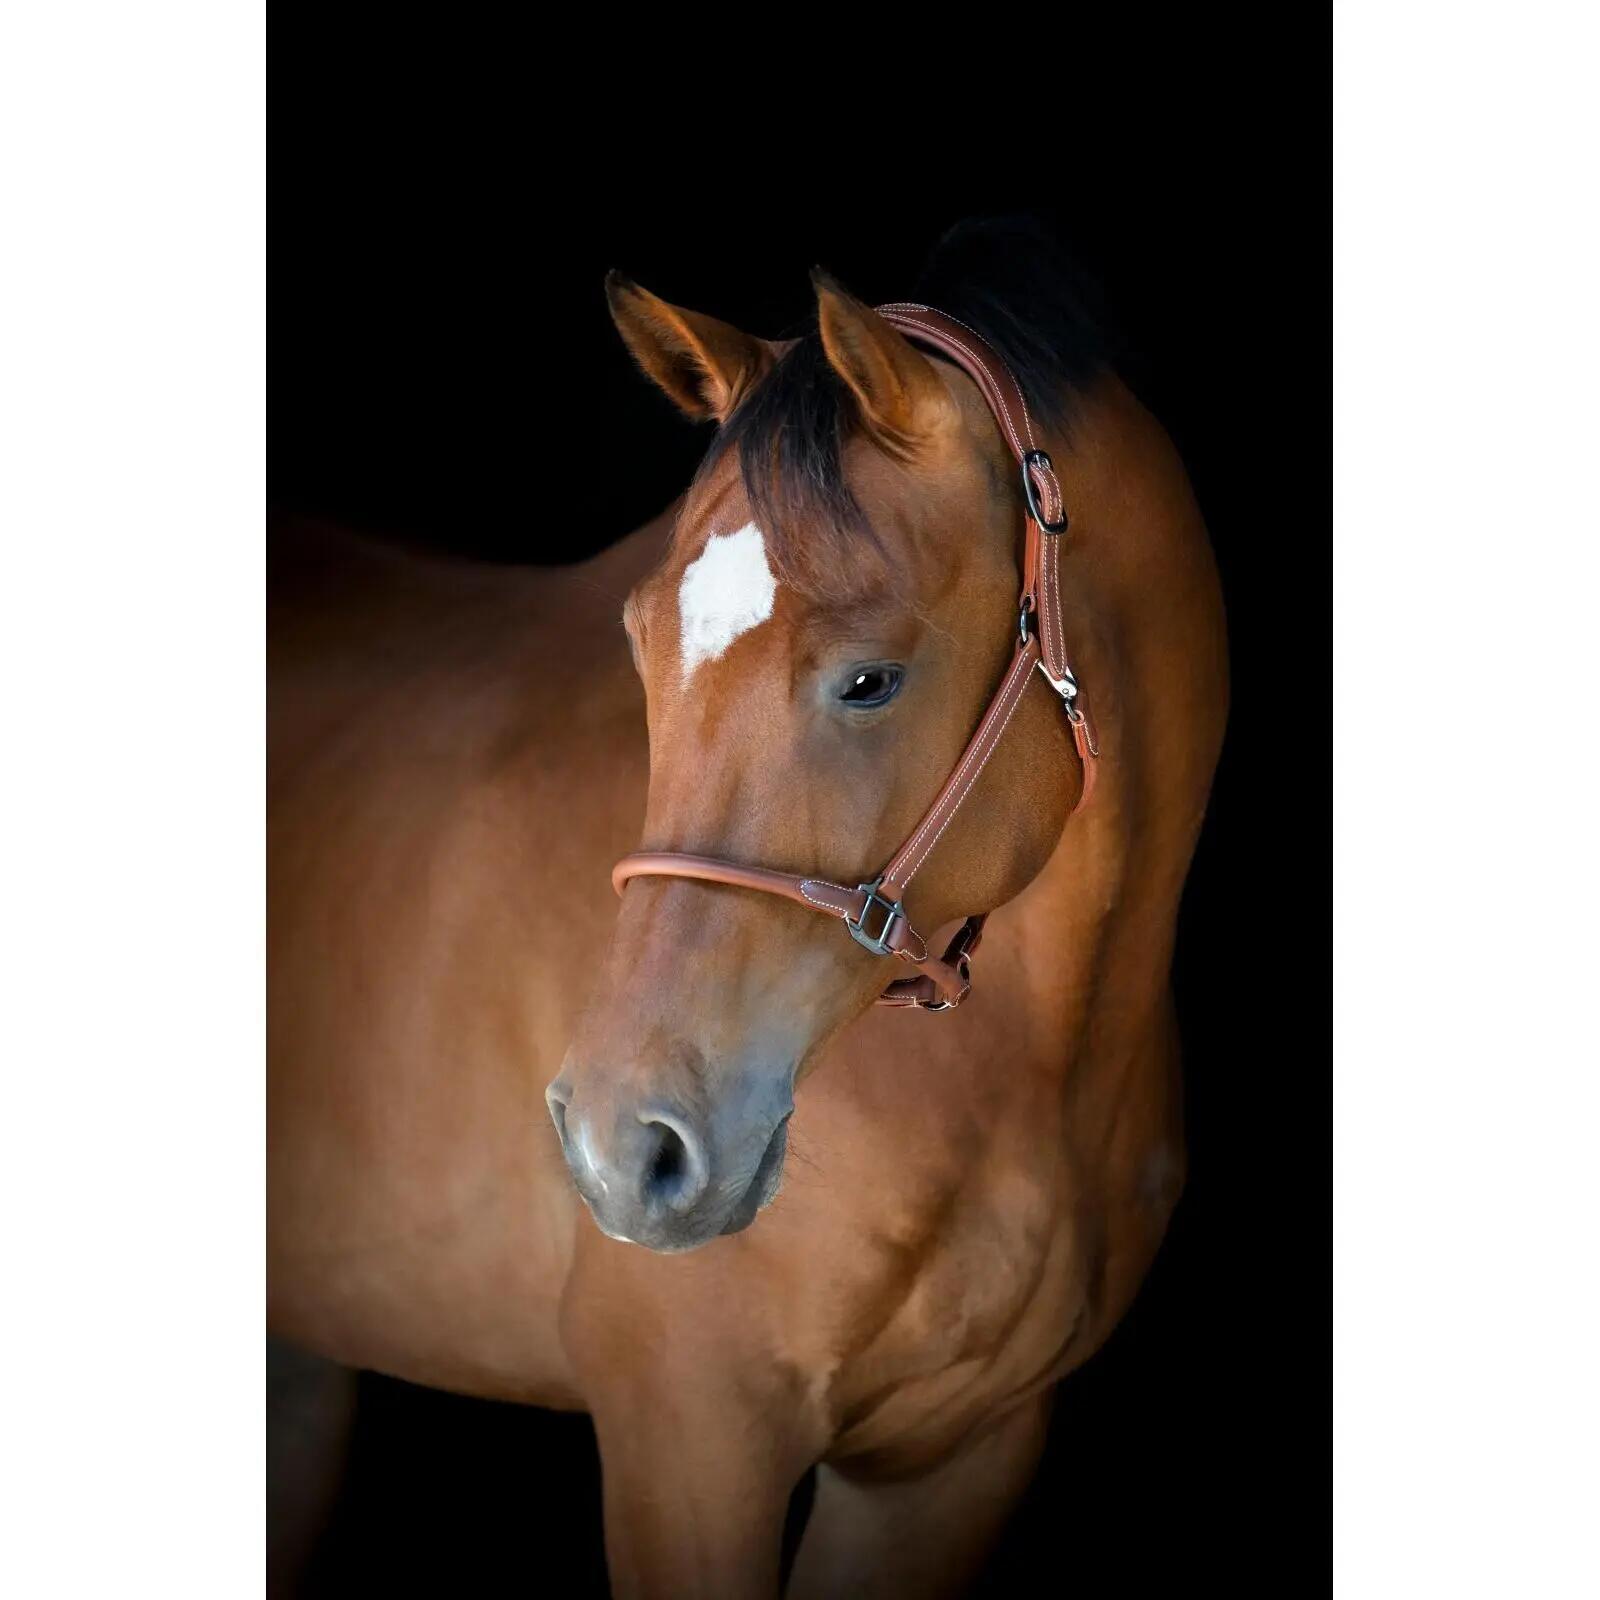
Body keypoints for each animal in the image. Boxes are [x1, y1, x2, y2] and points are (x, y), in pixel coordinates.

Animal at [267, 220, 1228, 1598]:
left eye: (872, 680)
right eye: (639, 640)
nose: (621, 1145)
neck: (1023, 1069)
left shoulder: (949, 1464)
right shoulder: (690, 1435)